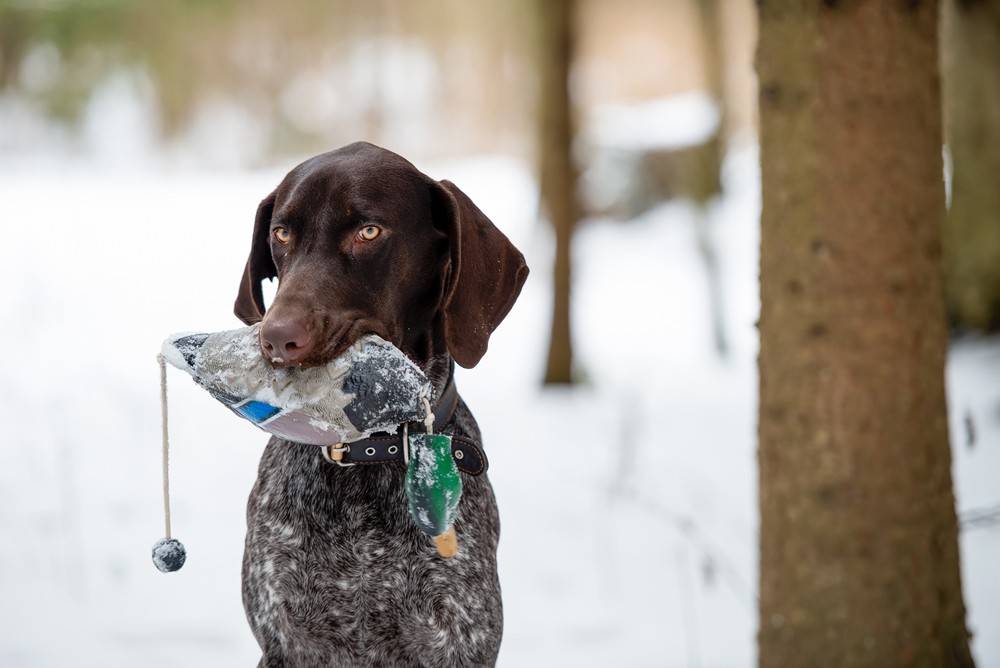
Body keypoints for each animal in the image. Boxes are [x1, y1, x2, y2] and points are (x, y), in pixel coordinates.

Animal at [232, 142, 532, 668]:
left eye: (368, 231)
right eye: (281, 233)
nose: (276, 338)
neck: (367, 455)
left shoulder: (460, 640)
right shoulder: (285, 641)